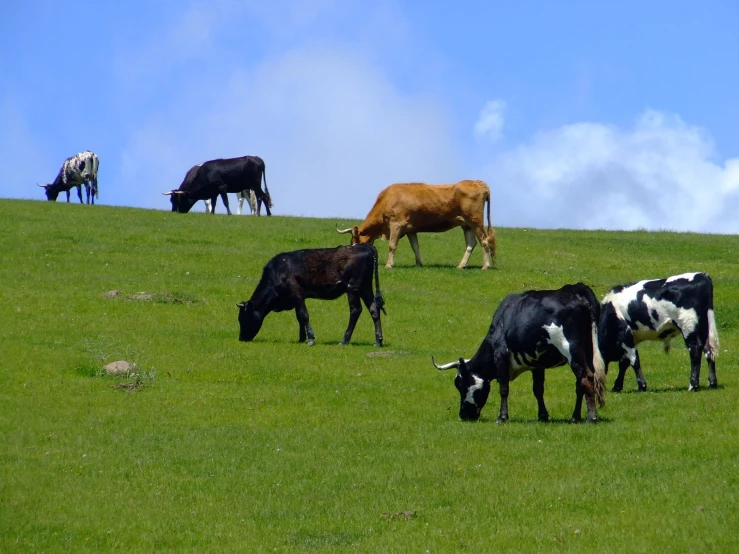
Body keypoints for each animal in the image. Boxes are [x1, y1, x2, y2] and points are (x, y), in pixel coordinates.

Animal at [237, 243, 388, 342]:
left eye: (242, 318)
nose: (241, 338)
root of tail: (365, 246)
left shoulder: (297, 293)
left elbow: (303, 315)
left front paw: (310, 338)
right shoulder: (296, 298)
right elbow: (299, 317)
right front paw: (301, 338)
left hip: (353, 288)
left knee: (355, 310)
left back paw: (344, 339)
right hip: (365, 288)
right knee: (373, 308)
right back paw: (378, 340)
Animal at [336, 180, 498, 268]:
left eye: (353, 242)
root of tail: (478, 182)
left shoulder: (396, 225)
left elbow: (392, 245)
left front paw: (389, 264)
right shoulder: (410, 229)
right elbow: (415, 247)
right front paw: (419, 263)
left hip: (475, 221)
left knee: (484, 240)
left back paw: (485, 265)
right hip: (466, 224)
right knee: (471, 243)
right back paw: (461, 265)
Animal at [434, 284, 608, 422]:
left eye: (462, 385)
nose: (463, 415)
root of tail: (575, 288)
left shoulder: (501, 355)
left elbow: (504, 388)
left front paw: (502, 417)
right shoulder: (538, 364)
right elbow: (538, 389)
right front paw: (543, 416)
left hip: (572, 350)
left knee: (586, 378)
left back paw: (591, 417)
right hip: (588, 351)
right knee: (580, 383)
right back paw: (575, 417)